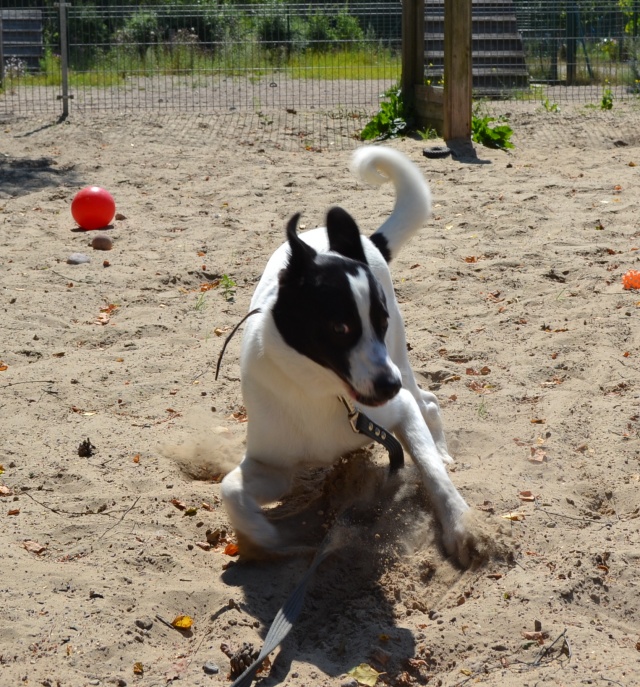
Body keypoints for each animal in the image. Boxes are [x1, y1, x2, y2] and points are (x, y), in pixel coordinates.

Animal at [220, 146, 477, 567]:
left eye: (380, 320)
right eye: (339, 328)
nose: (387, 387)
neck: (322, 392)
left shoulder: (399, 409)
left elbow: (433, 474)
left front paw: (461, 526)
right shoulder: (274, 467)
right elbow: (231, 490)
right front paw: (267, 541)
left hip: (400, 360)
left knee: (428, 401)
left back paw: (442, 448)